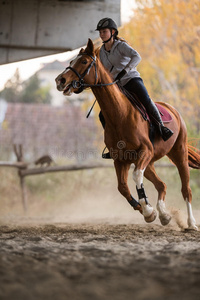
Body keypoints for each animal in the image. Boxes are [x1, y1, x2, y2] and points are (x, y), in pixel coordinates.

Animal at [55, 38, 200, 231]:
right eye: (71, 61)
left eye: (84, 61)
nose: (60, 80)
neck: (120, 115)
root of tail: (172, 109)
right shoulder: (120, 159)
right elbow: (122, 187)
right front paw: (146, 210)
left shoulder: (145, 151)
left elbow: (135, 177)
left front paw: (147, 208)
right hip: (149, 163)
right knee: (161, 185)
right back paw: (164, 215)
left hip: (178, 153)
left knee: (186, 189)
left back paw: (191, 223)